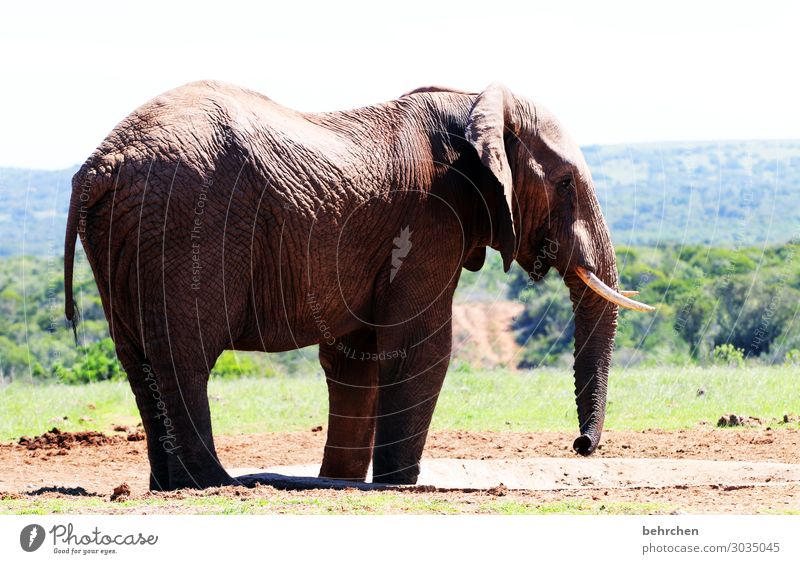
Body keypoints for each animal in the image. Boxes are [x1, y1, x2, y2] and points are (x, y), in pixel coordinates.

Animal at [65, 79, 652, 490]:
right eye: (567, 183)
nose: (580, 444)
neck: (474, 102)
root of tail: (99, 166)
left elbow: (357, 358)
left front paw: (340, 481)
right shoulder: (431, 217)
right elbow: (420, 349)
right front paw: (398, 486)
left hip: (127, 238)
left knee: (139, 361)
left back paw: (169, 486)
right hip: (183, 225)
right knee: (183, 359)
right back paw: (215, 484)